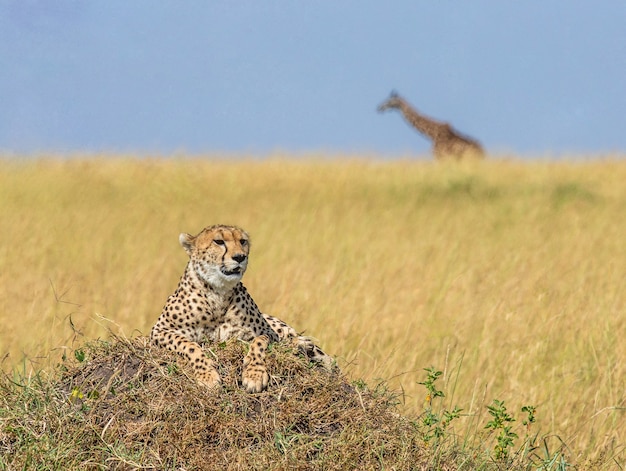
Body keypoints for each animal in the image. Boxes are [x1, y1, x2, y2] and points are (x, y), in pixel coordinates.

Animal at [151, 225, 332, 394]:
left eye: (242, 241)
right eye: (219, 241)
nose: (240, 257)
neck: (218, 294)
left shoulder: (266, 332)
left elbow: (259, 341)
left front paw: (254, 375)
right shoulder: (159, 331)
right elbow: (189, 345)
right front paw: (207, 376)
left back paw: (303, 344)